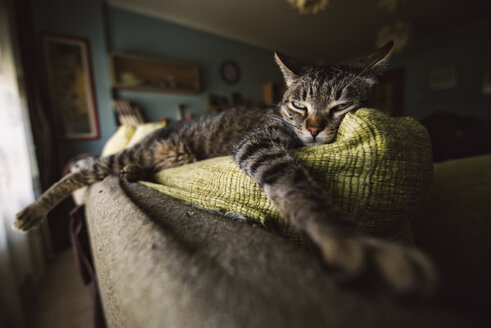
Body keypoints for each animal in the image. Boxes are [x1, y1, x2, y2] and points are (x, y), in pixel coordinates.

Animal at [14, 40, 438, 294]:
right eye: (298, 105)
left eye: (340, 106)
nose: (315, 128)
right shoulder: (258, 143)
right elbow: (297, 187)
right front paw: (344, 240)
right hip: (130, 155)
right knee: (81, 173)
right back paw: (31, 211)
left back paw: (133, 175)